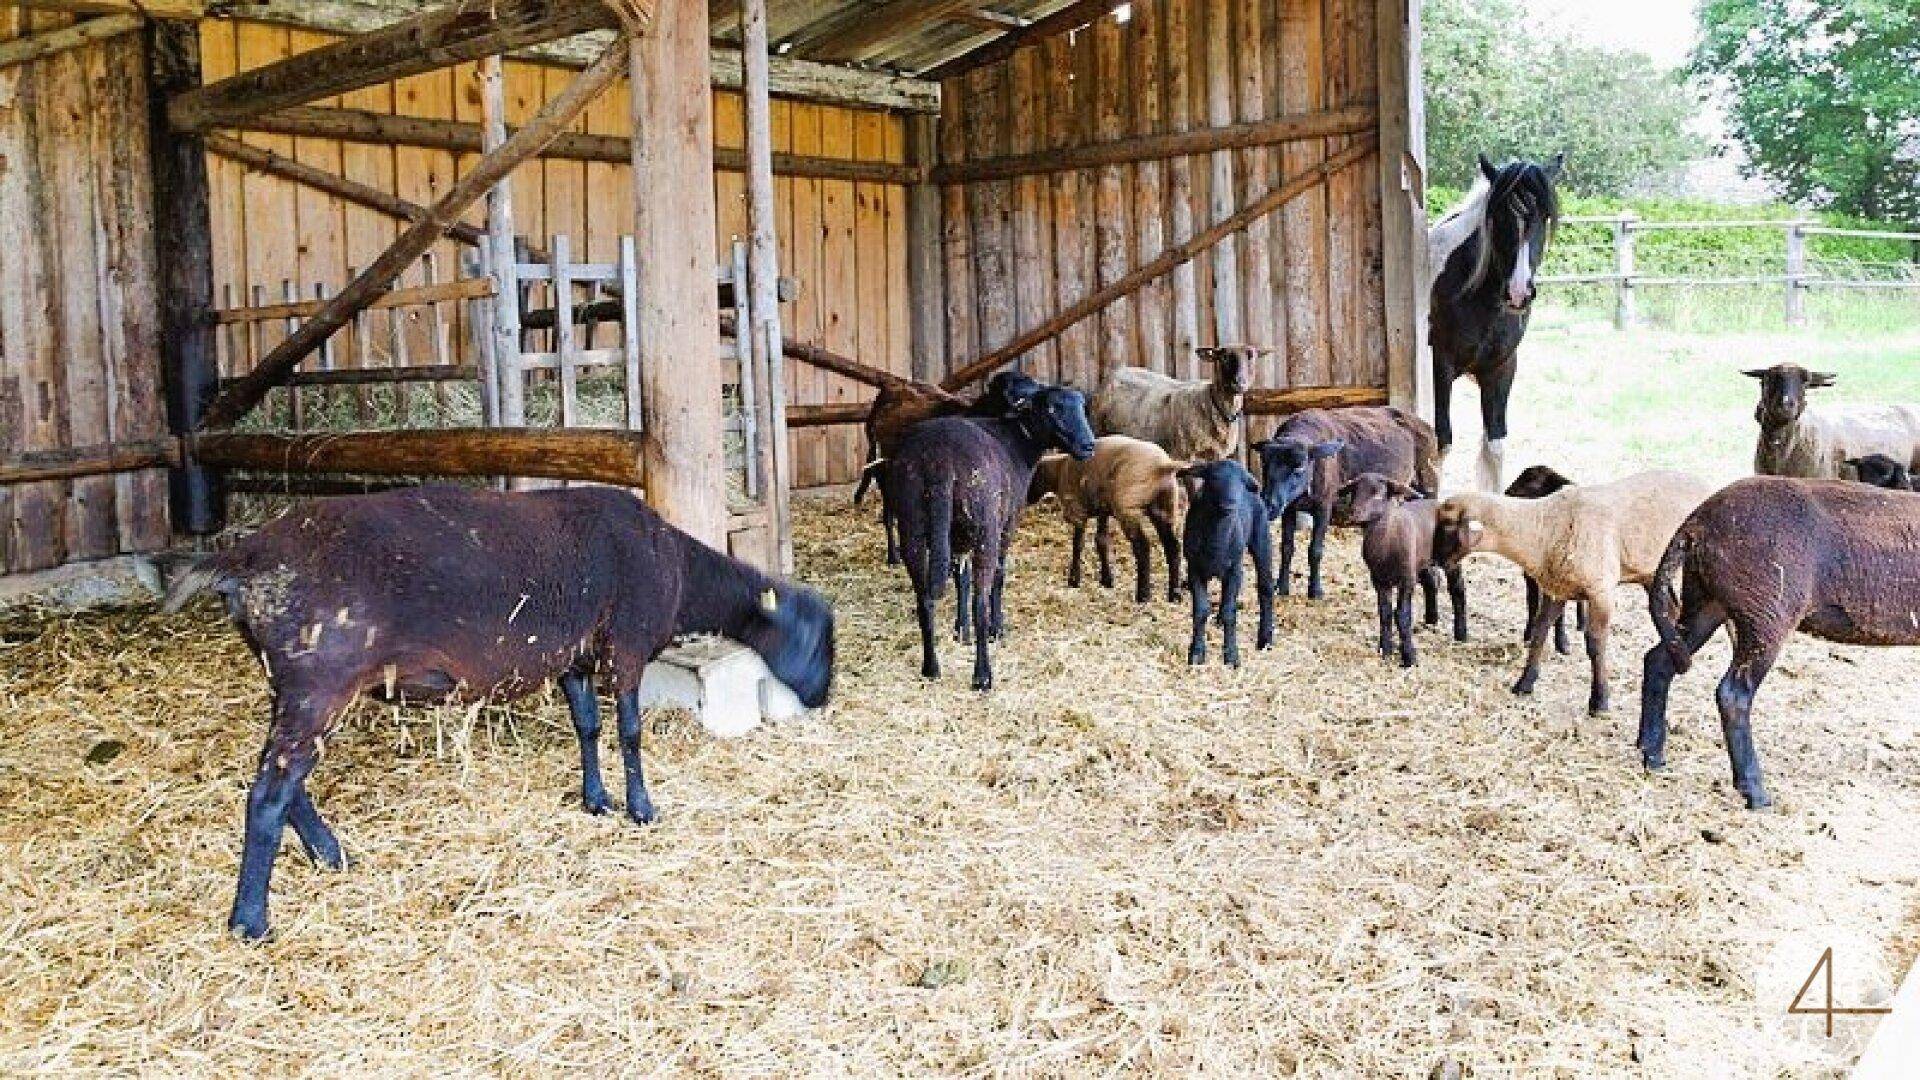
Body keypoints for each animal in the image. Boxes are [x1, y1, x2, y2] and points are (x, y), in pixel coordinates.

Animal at [1428, 153, 1563, 492]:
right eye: (1500, 217)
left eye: (1544, 216)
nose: (1518, 293)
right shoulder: (1439, 365)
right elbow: (1441, 441)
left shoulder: (1501, 368)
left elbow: (1495, 446)